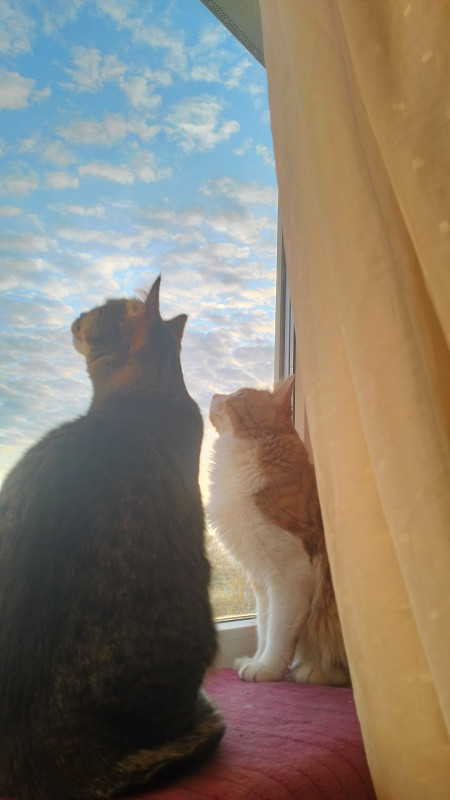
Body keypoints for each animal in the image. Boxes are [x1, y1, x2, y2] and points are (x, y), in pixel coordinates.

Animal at [208, 375, 349, 686]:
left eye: (239, 395)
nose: (213, 394)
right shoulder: (261, 578)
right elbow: (264, 626)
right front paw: (256, 660)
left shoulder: (289, 574)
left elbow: (279, 631)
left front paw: (268, 669)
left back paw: (313, 670)